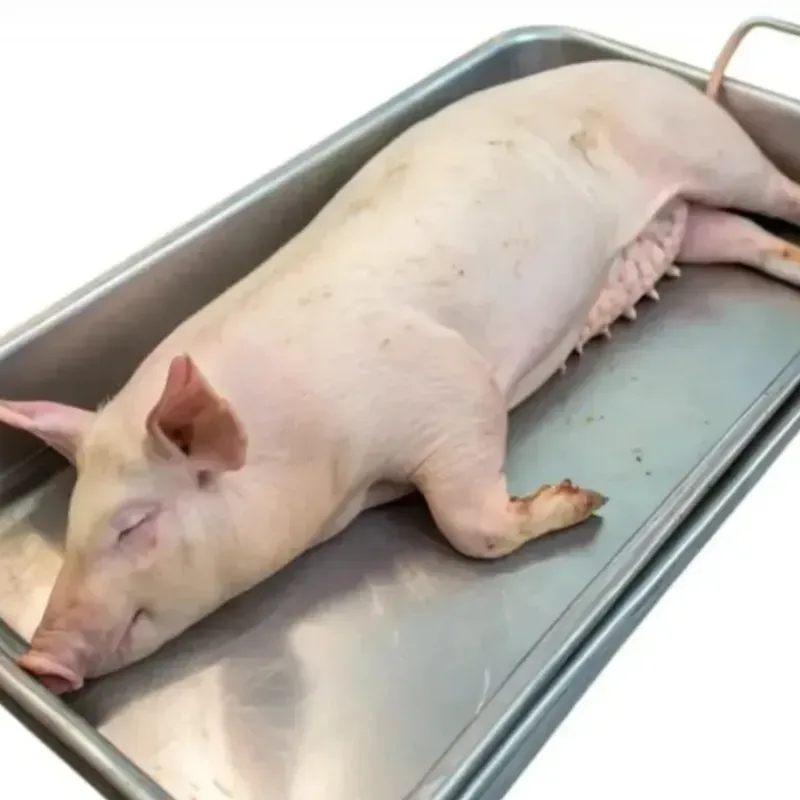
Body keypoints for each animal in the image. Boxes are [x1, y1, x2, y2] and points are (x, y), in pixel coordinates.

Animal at [2, 57, 800, 695]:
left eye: (135, 524)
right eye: (70, 525)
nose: (40, 662)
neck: (335, 476)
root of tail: (667, 76)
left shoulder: (452, 390)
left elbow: (470, 525)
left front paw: (585, 499)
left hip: (718, 152)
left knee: (779, 192)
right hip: (696, 226)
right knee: (747, 240)